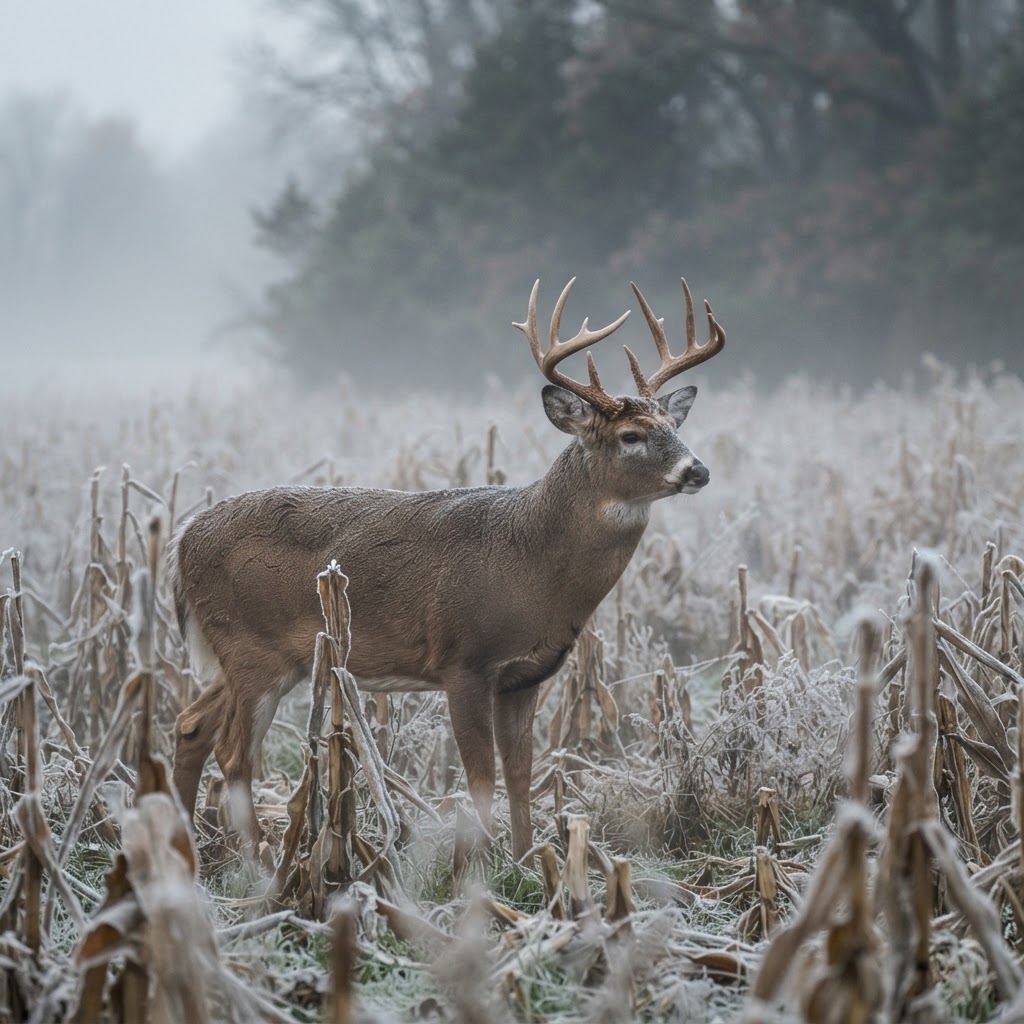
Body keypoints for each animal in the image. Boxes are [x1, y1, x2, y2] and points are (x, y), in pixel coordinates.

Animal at [169, 275, 725, 860]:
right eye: (631, 436)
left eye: (672, 424)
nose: (698, 470)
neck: (530, 562)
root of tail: (183, 539)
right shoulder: (464, 660)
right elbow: (480, 778)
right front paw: (480, 866)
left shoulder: (526, 675)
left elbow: (521, 777)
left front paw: (524, 861)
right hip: (252, 649)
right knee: (233, 754)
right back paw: (256, 861)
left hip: (253, 656)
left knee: (190, 725)